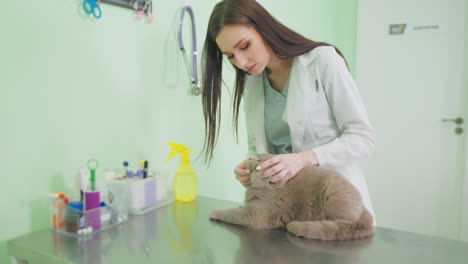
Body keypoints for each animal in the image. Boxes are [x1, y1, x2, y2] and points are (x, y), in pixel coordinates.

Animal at [210, 154, 374, 240]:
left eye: (258, 161)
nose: (250, 155)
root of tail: (364, 208)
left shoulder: (255, 215)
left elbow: (232, 213)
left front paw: (214, 212)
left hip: (333, 194)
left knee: (347, 225)